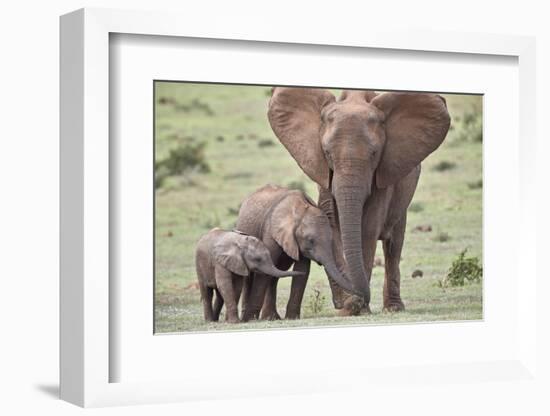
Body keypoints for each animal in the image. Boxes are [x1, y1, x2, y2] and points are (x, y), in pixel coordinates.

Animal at [268, 88, 452, 316]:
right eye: (327, 153)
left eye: (374, 154)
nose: (353, 300)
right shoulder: (323, 173)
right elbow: (331, 222)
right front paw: (348, 306)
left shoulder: (384, 172)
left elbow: (368, 228)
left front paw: (357, 307)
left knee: (394, 244)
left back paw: (393, 308)